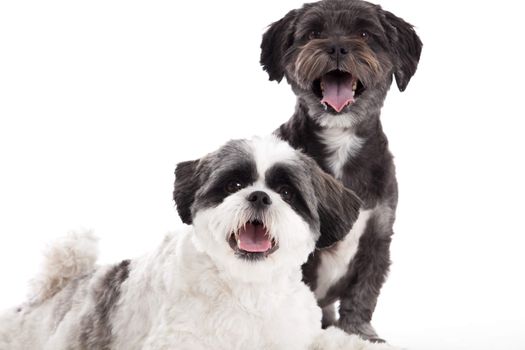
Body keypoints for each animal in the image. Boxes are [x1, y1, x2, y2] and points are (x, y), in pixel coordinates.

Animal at [258, 0, 422, 342]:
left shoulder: (378, 234)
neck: (341, 141)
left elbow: (364, 292)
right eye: (313, 33)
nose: (336, 46)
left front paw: (359, 333)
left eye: (365, 34)